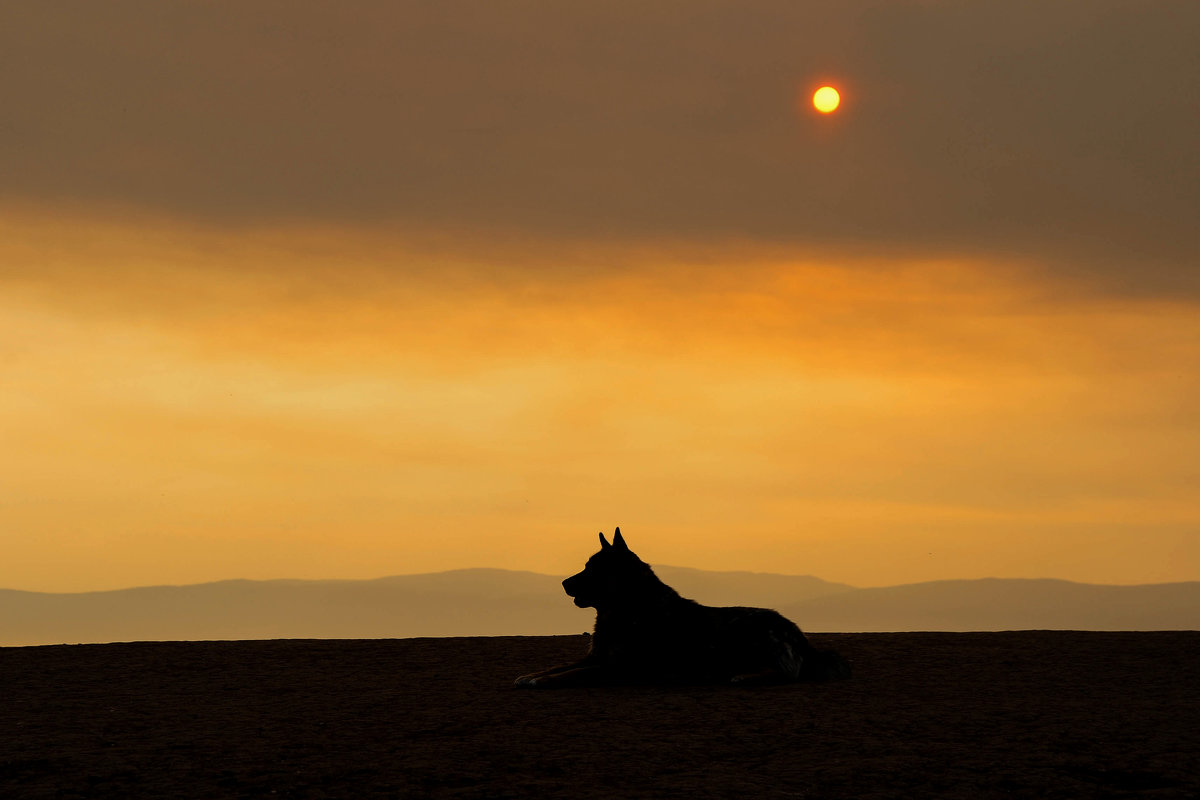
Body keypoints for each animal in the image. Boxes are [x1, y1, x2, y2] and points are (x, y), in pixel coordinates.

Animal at [518, 532, 854, 690]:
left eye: (593, 569)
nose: (563, 583)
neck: (630, 608)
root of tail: (801, 637)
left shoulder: (615, 667)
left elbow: (572, 673)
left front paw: (542, 682)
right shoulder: (595, 658)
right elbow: (559, 666)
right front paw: (532, 675)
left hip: (753, 636)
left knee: (787, 673)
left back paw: (745, 676)